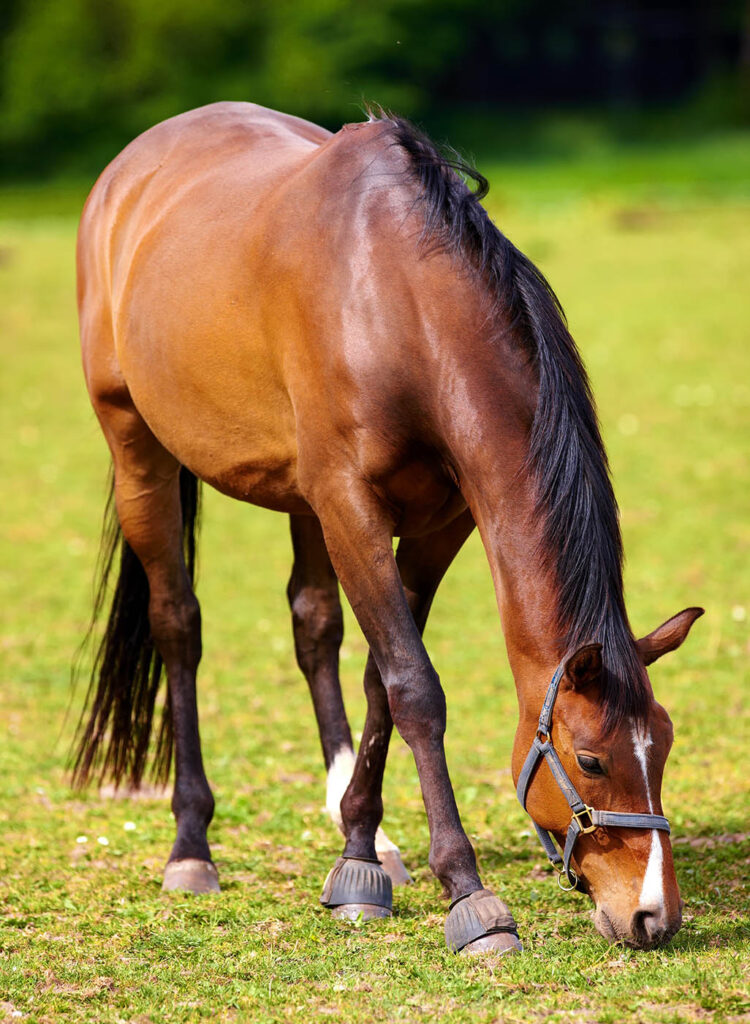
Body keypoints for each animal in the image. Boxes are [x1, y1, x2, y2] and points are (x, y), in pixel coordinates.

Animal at [74, 101, 702, 955]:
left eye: (663, 747)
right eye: (593, 760)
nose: (653, 916)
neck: (395, 301)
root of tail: (128, 168)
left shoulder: (440, 522)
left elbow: (379, 678)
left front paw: (358, 861)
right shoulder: (352, 507)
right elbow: (415, 688)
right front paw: (470, 895)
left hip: (298, 498)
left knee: (313, 626)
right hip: (137, 446)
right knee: (178, 625)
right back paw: (191, 846)